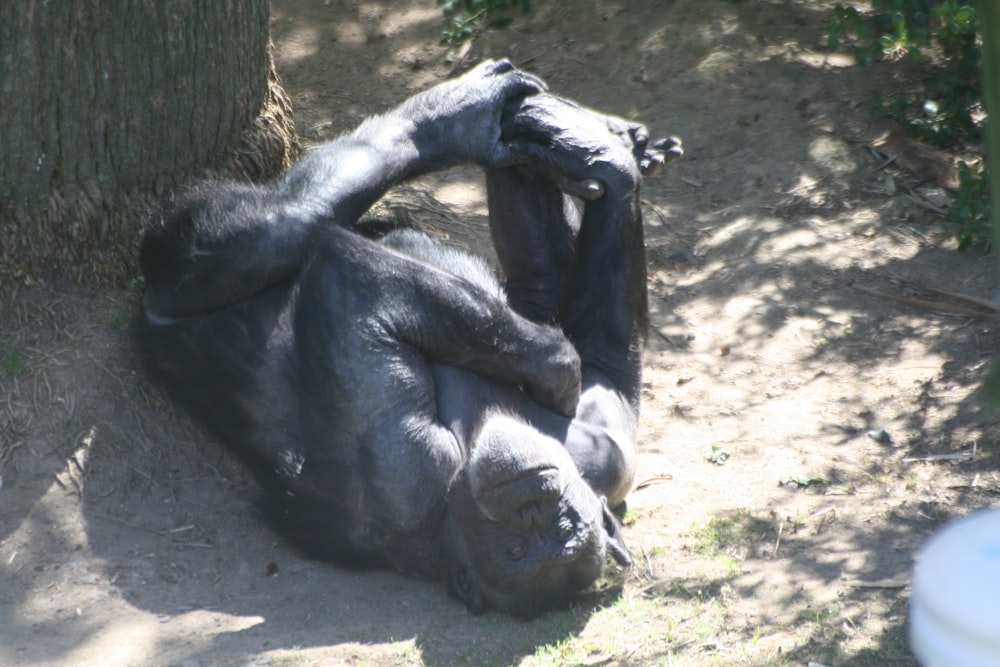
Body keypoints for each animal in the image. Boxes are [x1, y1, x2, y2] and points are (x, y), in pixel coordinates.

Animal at [137, 60, 680, 620]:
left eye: (552, 529)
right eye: (524, 535)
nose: (535, 499)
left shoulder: (422, 465)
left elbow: (353, 282)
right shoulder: (595, 455)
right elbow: (596, 363)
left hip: (181, 250)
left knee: (274, 225)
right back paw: (542, 129)